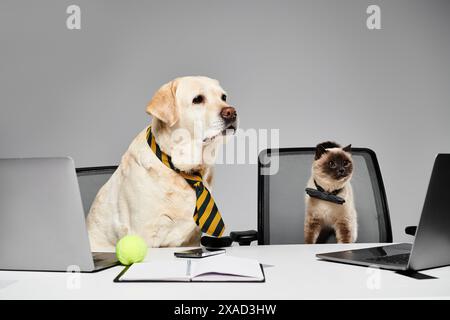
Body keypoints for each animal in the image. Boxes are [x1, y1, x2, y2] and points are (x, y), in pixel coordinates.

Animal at [85, 76, 237, 251]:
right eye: (197, 99)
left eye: (223, 97)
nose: (231, 112)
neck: (180, 169)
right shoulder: (144, 234)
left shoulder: (192, 238)